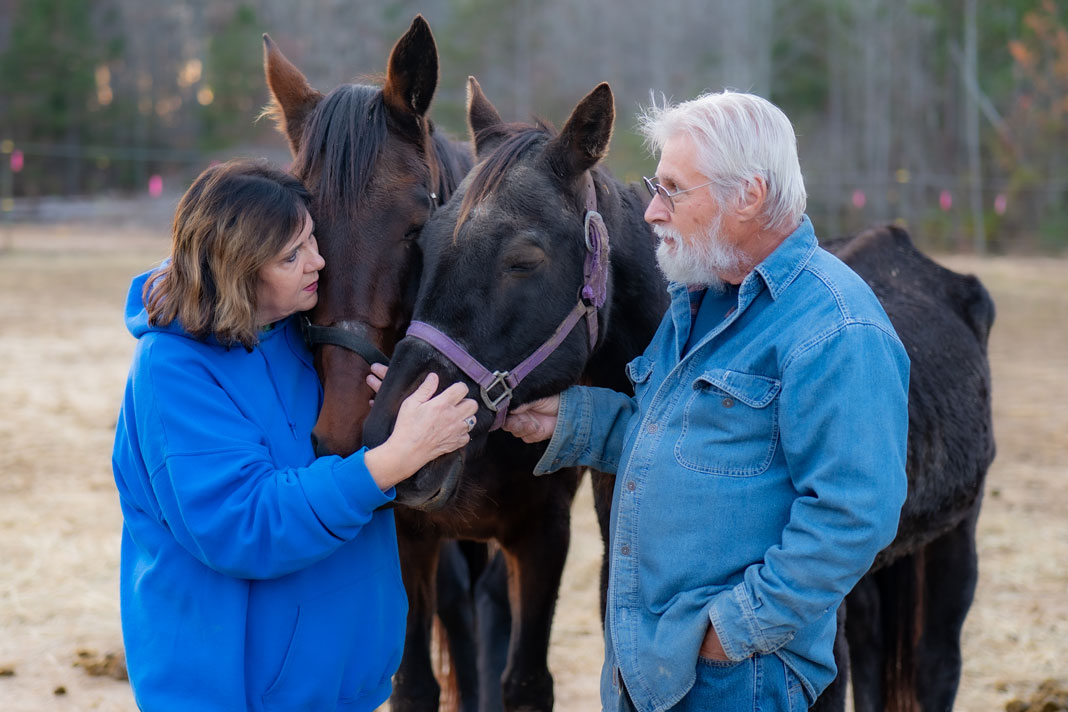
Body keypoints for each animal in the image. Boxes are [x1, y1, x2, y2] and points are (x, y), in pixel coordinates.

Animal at [367, 80, 666, 708]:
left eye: (523, 260)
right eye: (423, 243)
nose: (388, 436)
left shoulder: (543, 534)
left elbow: (526, 680)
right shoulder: (410, 537)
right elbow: (414, 682)